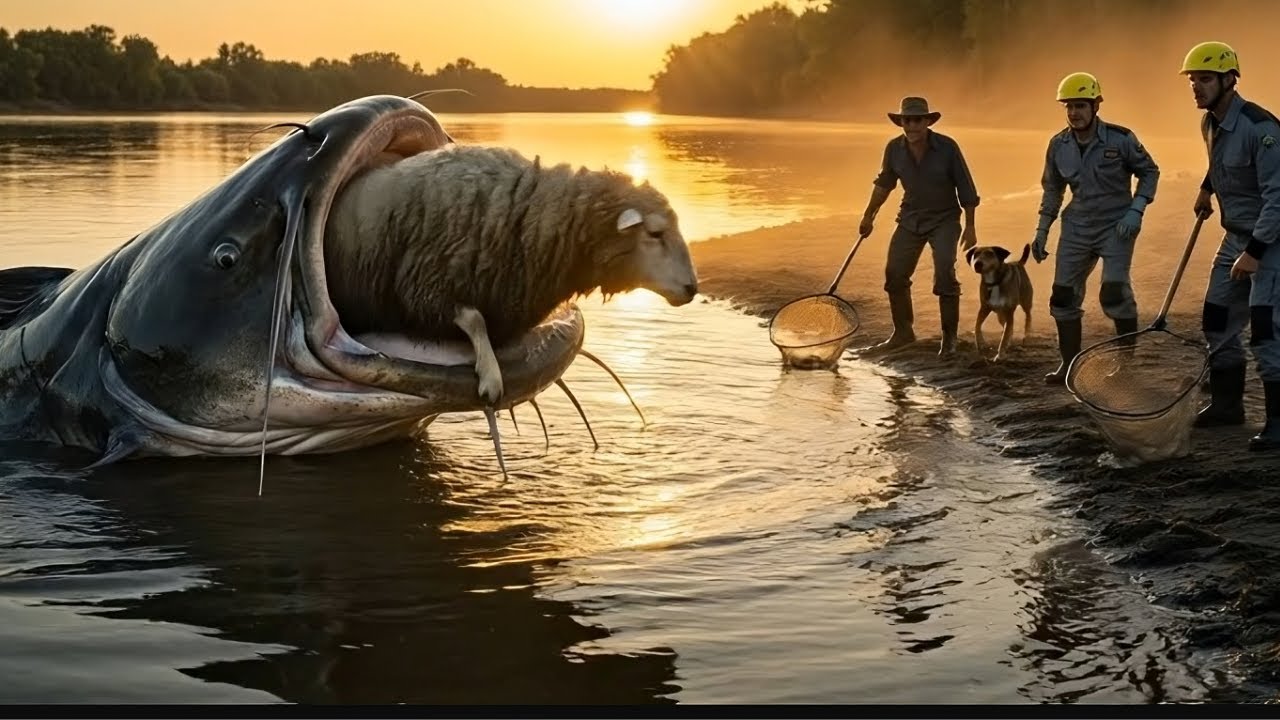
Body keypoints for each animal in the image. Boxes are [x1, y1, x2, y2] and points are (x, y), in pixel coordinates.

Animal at [323, 142, 700, 407]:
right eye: (655, 233)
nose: (692, 288)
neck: (527, 213)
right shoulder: (424, 285)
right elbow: (474, 319)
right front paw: (490, 378)